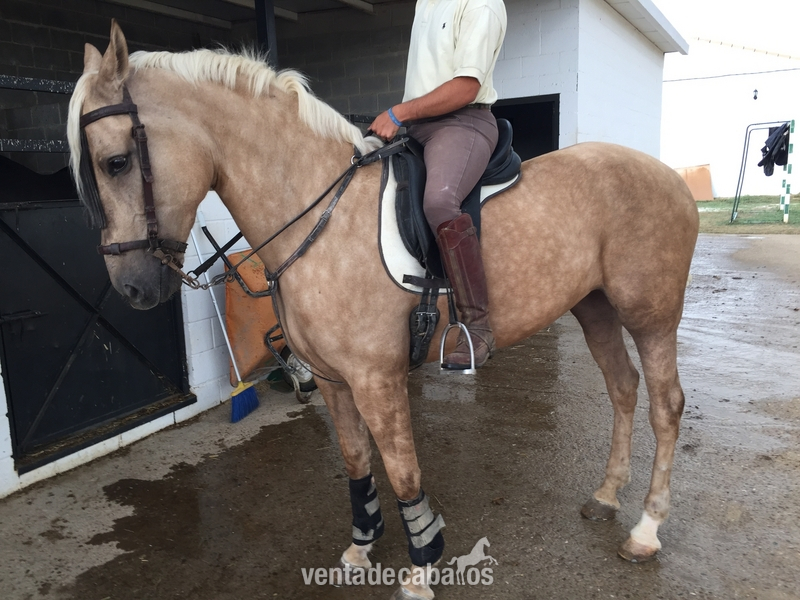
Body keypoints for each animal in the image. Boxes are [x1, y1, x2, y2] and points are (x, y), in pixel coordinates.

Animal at [68, 22, 698, 600]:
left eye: (116, 162)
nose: (131, 288)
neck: (321, 216)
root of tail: (671, 177)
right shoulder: (331, 379)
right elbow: (355, 460)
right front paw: (360, 548)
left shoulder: (378, 380)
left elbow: (401, 469)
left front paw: (422, 567)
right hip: (595, 308)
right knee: (623, 388)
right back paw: (605, 497)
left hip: (650, 315)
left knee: (666, 405)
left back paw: (645, 531)